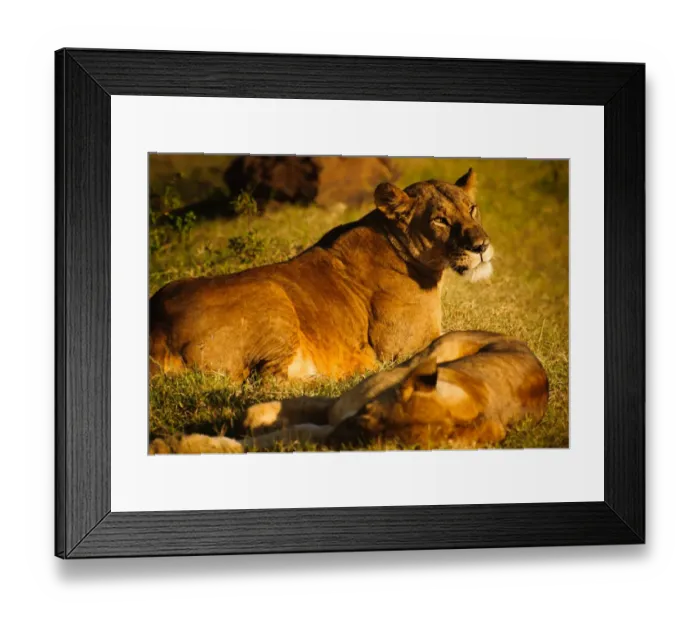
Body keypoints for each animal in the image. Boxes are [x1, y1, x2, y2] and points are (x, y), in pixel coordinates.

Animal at [149, 169, 494, 381]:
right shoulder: (401, 348)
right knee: (267, 382)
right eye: (440, 221)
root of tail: (158, 328)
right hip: (272, 296)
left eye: (472, 208)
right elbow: (459, 337)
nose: (481, 246)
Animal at [149, 331, 549, 454]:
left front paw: (177, 445)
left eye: (382, 448)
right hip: (433, 351)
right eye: (369, 416)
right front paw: (252, 418)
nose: (338, 441)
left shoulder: (329, 422)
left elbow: (268, 440)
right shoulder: (341, 406)